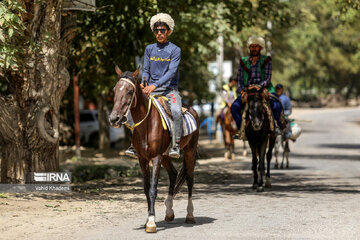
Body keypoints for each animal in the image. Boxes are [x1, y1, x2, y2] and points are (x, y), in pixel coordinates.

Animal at [109, 65, 200, 232]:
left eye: (130, 91)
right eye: (115, 89)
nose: (114, 119)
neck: (147, 124)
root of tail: (193, 110)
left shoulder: (156, 157)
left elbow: (153, 189)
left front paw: (151, 222)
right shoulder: (143, 159)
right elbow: (146, 189)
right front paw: (148, 219)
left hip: (189, 151)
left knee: (190, 179)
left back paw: (190, 215)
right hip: (166, 156)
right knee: (173, 174)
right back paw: (169, 212)